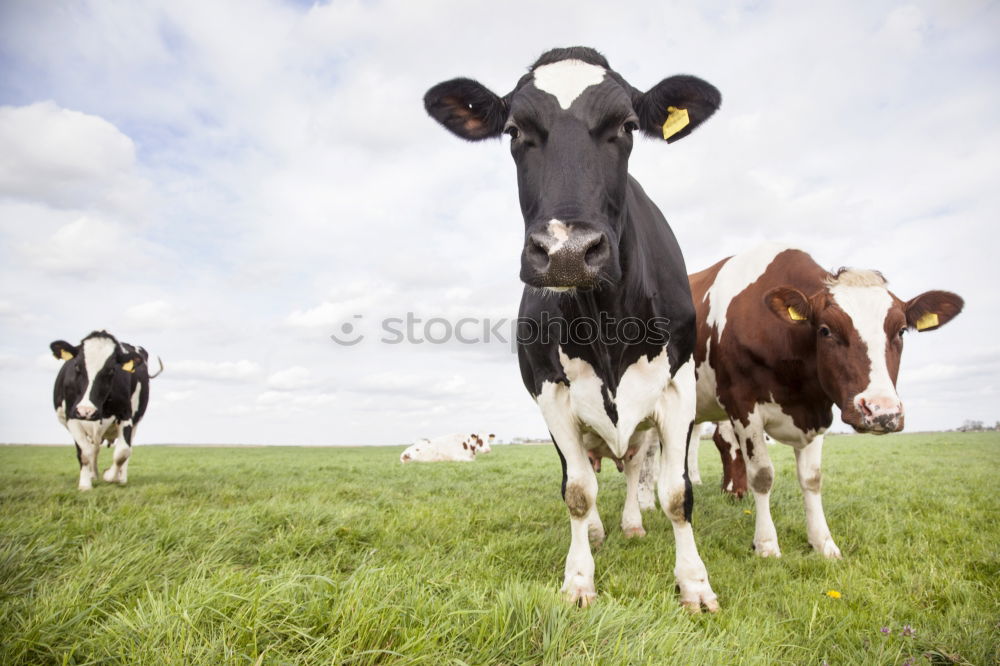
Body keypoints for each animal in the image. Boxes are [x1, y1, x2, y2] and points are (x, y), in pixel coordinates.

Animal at [51, 328, 162, 488]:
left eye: (111, 370)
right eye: (77, 366)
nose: (86, 411)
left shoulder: (125, 415)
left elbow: (123, 452)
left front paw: (110, 476)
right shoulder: (72, 416)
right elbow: (84, 452)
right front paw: (85, 484)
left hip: (135, 423)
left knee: (127, 449)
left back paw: (121, 478)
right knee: (94, 449)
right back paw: (92, 475)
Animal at [426, 45, 724, 608]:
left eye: (627, 126)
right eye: (514, 130)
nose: (567, 250)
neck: (605, 324)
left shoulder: (677, 387)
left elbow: (676, 493)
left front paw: (695, 583)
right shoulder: (551, 393)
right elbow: (579, 492)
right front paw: (579, 578)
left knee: (634, 466)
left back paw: (630, 524)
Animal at [640, 244, 960, 556]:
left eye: (901, 331)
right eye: (826, 330)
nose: (882, 411)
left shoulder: (817, 410)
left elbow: (811, 478)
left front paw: (823, 543)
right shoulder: (743, 405)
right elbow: (763, 475)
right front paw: (766, 544)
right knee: (650, 450)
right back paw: (645, 503)